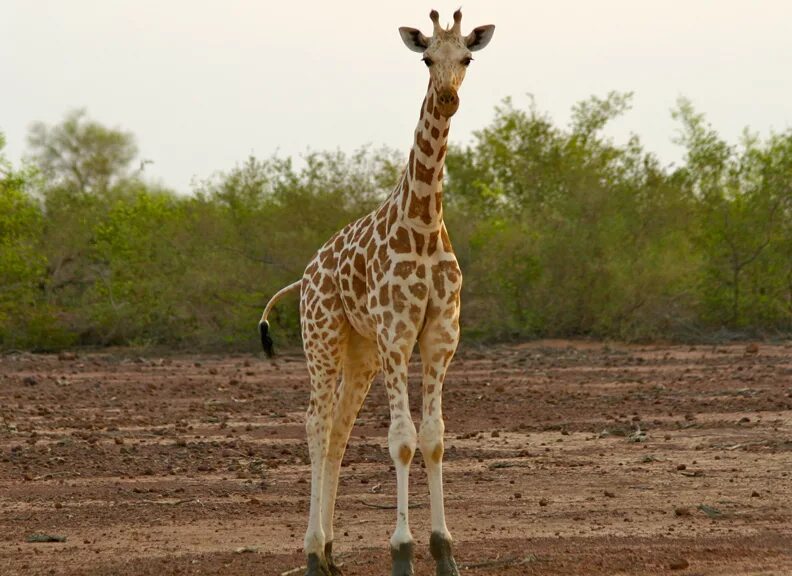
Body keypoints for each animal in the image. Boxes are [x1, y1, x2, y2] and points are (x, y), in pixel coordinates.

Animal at [260, 10, 496, 576]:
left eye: (467, 58)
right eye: (427, 58)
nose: (447, 98)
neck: (424, 223)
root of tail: (305, 275)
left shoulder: (440, 335)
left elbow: (434, 439)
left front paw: (444, 552)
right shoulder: (397, 334)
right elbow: (402, 441)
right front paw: (402, 553)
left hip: (359, 350)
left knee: (339, 431)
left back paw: (329, 553)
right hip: (322, 338)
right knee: (316, 423)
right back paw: (310, 553)